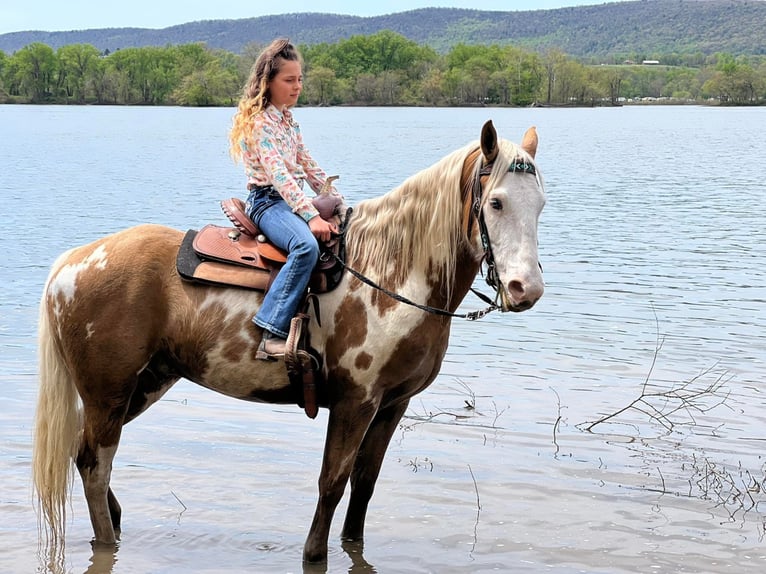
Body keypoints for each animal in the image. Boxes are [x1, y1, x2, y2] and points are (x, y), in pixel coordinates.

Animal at [31, 119, 544, 564]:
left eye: (539, 204)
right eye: (496, 203)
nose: (526, 290)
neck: (391, 274)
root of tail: (73, 262)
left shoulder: (393, 404)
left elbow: (365, 484)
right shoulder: (355, 402)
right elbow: (332, 482)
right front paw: (314, 554)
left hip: (143, 385)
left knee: (83, 454)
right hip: (108, 392)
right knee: (95, 464)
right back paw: (106, 538)